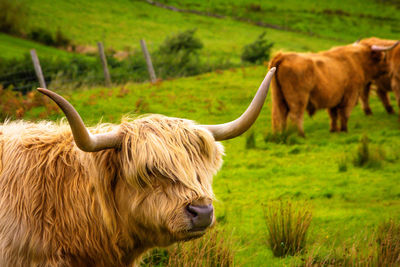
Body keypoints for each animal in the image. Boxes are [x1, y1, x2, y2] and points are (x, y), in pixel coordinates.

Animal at [268, 43, 396, 137]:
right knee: (295, 115)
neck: (358, 62)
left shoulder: (334, 98)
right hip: (298, 98)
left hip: (278, 97)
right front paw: (344, 130)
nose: (390, 68)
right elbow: (344, 114)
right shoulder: (350, 94)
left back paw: (281, 134)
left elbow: (333, 115)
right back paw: (300, 135)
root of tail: (282, 56)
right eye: (383, 57)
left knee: (279, 116)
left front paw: (334, 130)